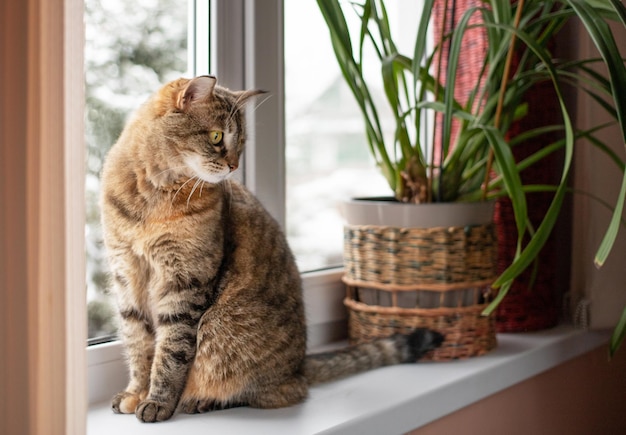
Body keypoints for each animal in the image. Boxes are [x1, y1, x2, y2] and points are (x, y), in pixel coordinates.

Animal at [100, 75, 444, 422]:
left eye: (240, 142)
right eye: (216, 136)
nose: (234, 166)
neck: (152, 198)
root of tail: (301, 365)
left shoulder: (184, 282)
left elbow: (171, 352)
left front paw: (157, 401)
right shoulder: (127, 277)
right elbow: (139, 345)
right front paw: (136, 393)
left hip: (233, 345)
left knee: (276, 390)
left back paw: (202, 400)